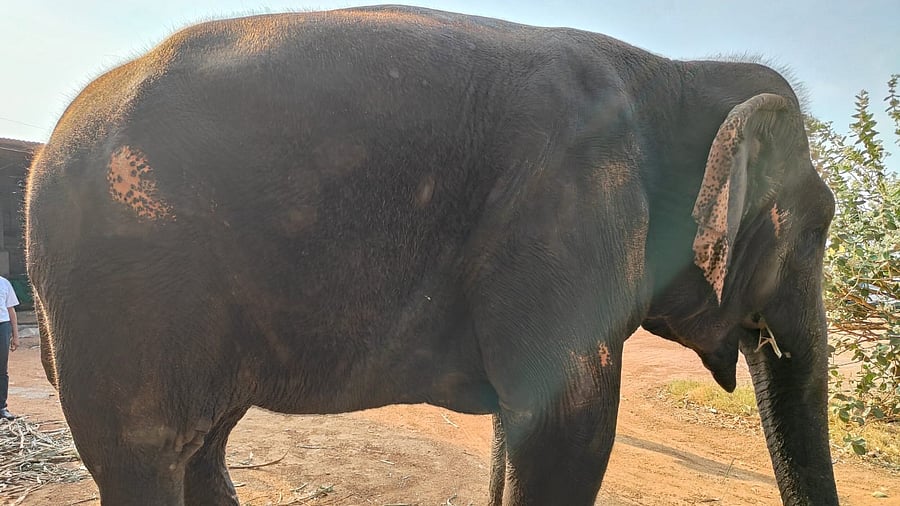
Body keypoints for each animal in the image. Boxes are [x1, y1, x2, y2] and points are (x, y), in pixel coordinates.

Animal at [25, 5, 838, 505]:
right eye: (818, 230)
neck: (677, 71)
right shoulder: (567, 212)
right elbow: (566, 430)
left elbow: (524, 423)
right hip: (125, 291)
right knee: (147, 452)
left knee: (205, 445)